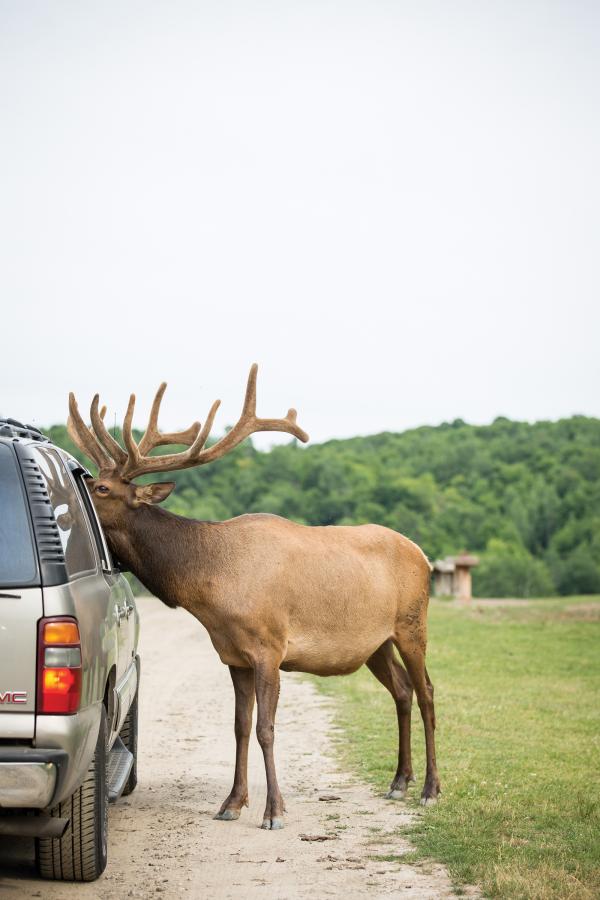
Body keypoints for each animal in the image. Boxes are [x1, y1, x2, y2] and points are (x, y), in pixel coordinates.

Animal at [68, 366, 440, 828]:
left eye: (101, 488)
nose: (66, 508)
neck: (211, 588)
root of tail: (424, 555)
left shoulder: (270, 646)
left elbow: (266, 728)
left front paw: (274, 810)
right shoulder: (233, 655)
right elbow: (240, 726)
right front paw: (232, 802)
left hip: (412, 624)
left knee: (427, 692)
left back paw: (430, 789)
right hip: (375, 643)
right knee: (403, 691)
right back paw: (399, 782)